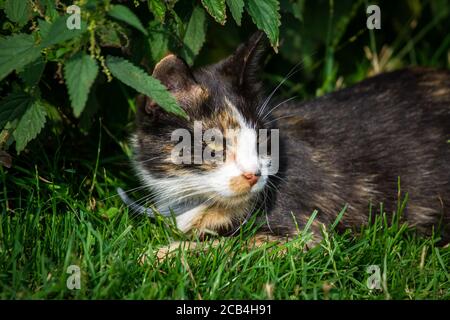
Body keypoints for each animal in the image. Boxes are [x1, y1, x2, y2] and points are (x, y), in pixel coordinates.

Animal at [127, 31, 450, 252]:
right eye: (215, 144)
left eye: (261, 139)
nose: (254, 174)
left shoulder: (307, 233)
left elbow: (233, 247)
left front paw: (160, 255)